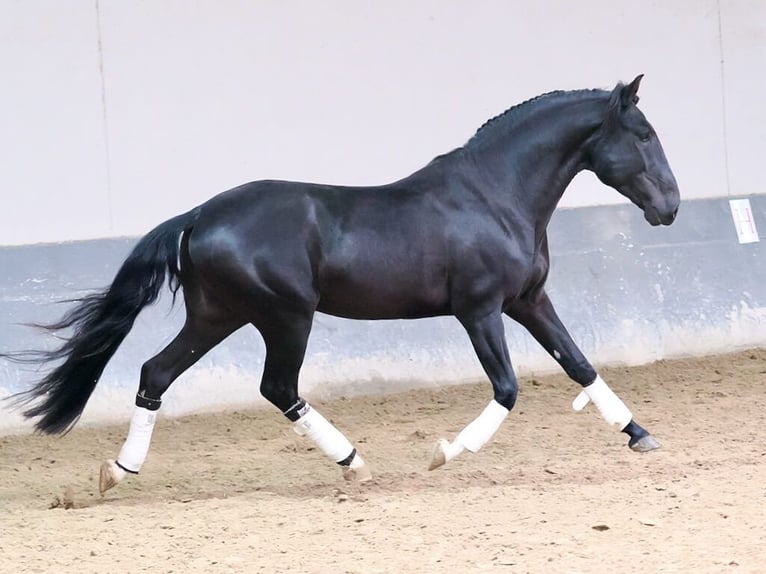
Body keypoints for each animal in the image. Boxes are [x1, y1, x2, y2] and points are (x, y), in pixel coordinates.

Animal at [9, 74, 680, 492]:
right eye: (644, 135)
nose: (670, 208)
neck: (495, 195)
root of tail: (199, 215)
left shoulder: (528, 301)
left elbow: (580, 365)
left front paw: (640, 435)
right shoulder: (480, 309)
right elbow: (509, 388)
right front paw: (444, 453)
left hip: (218, 315)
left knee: (156, 373)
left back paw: (120, 471)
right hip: (285, 317)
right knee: (277, 387)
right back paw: (353, 463)